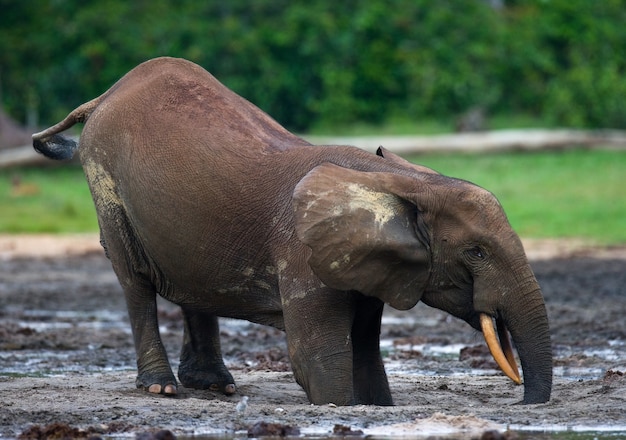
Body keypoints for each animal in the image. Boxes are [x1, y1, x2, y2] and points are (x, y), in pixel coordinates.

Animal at [33, 57, 552, 406]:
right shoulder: (302, 256)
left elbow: (365, 355)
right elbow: (318, 359)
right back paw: (162, 388)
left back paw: (215, 385)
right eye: (477, 252)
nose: (524, 401)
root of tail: (105, 95)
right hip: (104, 176)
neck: (400, 181)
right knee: (135, 279)